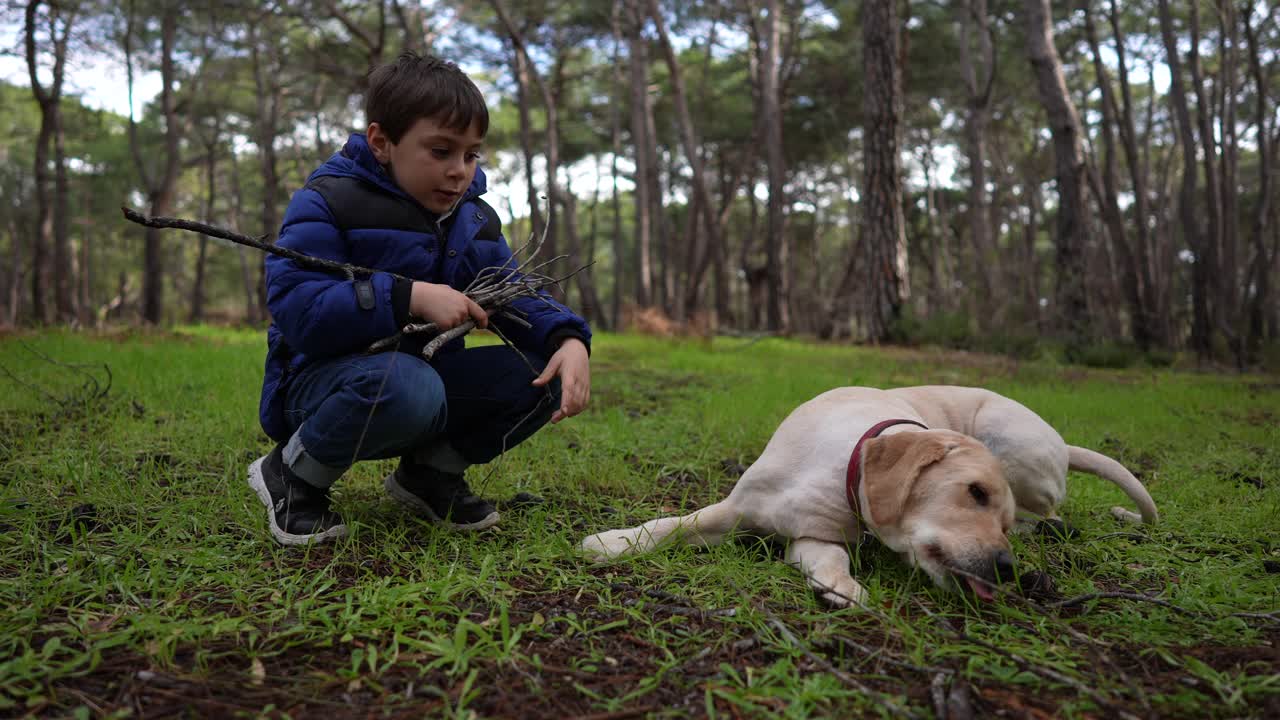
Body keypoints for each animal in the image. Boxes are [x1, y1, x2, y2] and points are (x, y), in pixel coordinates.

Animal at [581, 384, 1162, 602]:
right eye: (973, 492)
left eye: (991, 511)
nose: (1006, 569)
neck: (843, 467)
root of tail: (1063, 442)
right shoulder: (742, 511)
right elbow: (671, 525)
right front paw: (613, 543)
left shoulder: (822, 537)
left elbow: (833, 563)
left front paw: (844, 588)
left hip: (1012, 442)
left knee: (1046, 513)